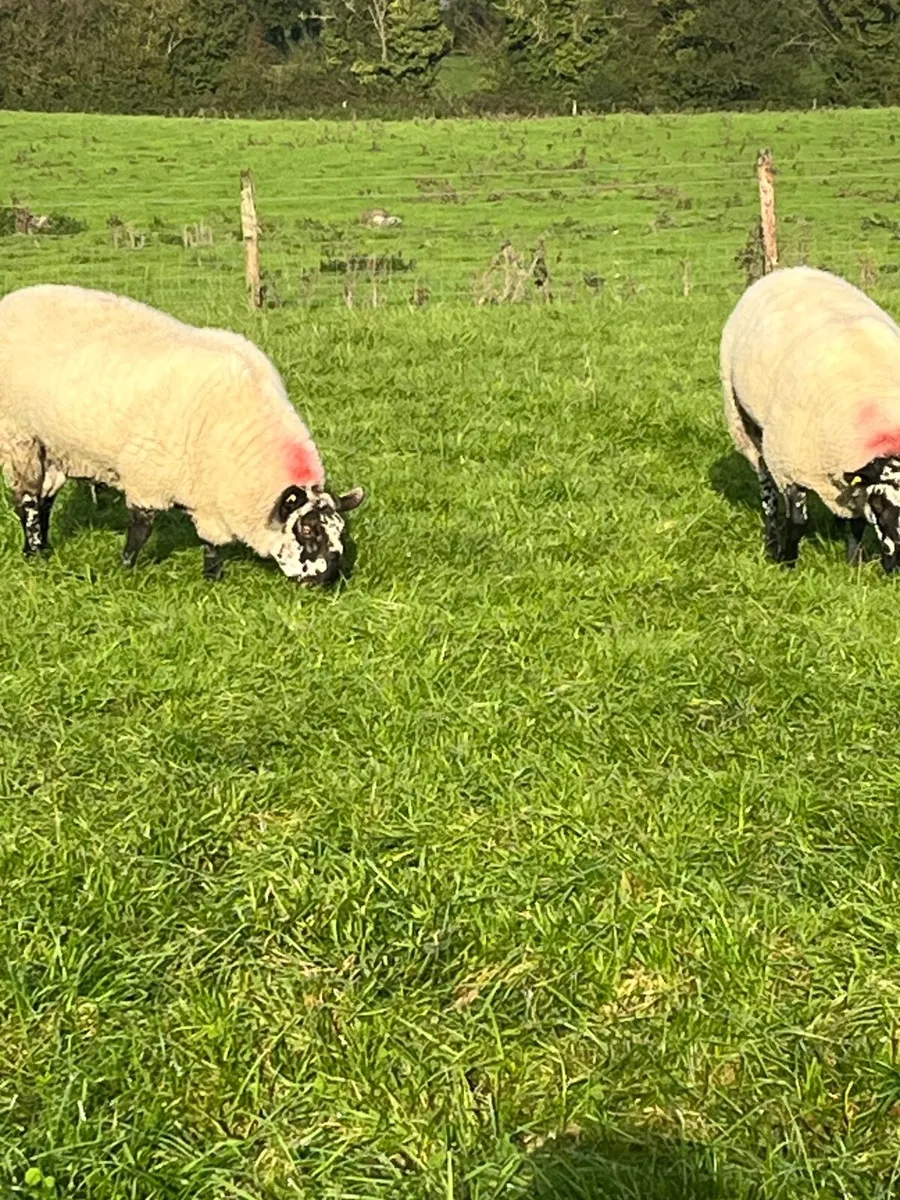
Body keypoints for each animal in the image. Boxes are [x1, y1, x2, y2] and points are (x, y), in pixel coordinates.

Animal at [0, 284, 365, 583]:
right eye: (307, 529)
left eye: (340, 531)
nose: (328, 578)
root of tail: (12, 300)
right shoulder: (148, 476)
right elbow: (141, 528)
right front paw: (126, 567)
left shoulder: (208, 494)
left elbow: (212, 542)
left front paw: (213, 578)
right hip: (18, 436)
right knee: (27, 500)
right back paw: (34, 551)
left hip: (53, 445)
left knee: (45, 496)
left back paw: (42, 547)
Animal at [721, 265, 900, 572]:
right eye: (879, 507)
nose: (899, 565)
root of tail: (789, 270)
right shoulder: (789, 465)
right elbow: (797, 520)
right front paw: (787, 563)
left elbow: (856, 524)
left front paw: (854, 564)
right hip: (743, 423)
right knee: (766, 488)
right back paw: (772, 540)